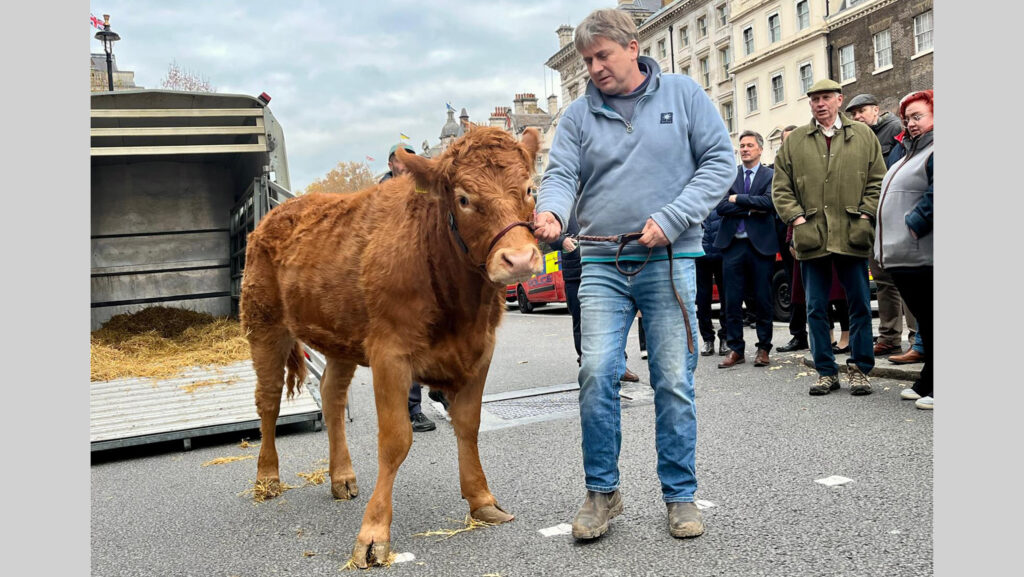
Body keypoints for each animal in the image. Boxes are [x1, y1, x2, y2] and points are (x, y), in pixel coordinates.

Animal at [239, 126, 544, 568]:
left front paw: (482, 499)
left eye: (530, 188)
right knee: (268, 399)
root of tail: (276, 214)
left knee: (331, 395)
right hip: (263, 324)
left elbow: (469, 426)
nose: (519, 259)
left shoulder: (480, 352)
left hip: (341, 339)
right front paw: (373, 534)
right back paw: (267, 477)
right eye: (464, 198)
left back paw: (342, 477)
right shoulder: (390, 355)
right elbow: (395, 440)